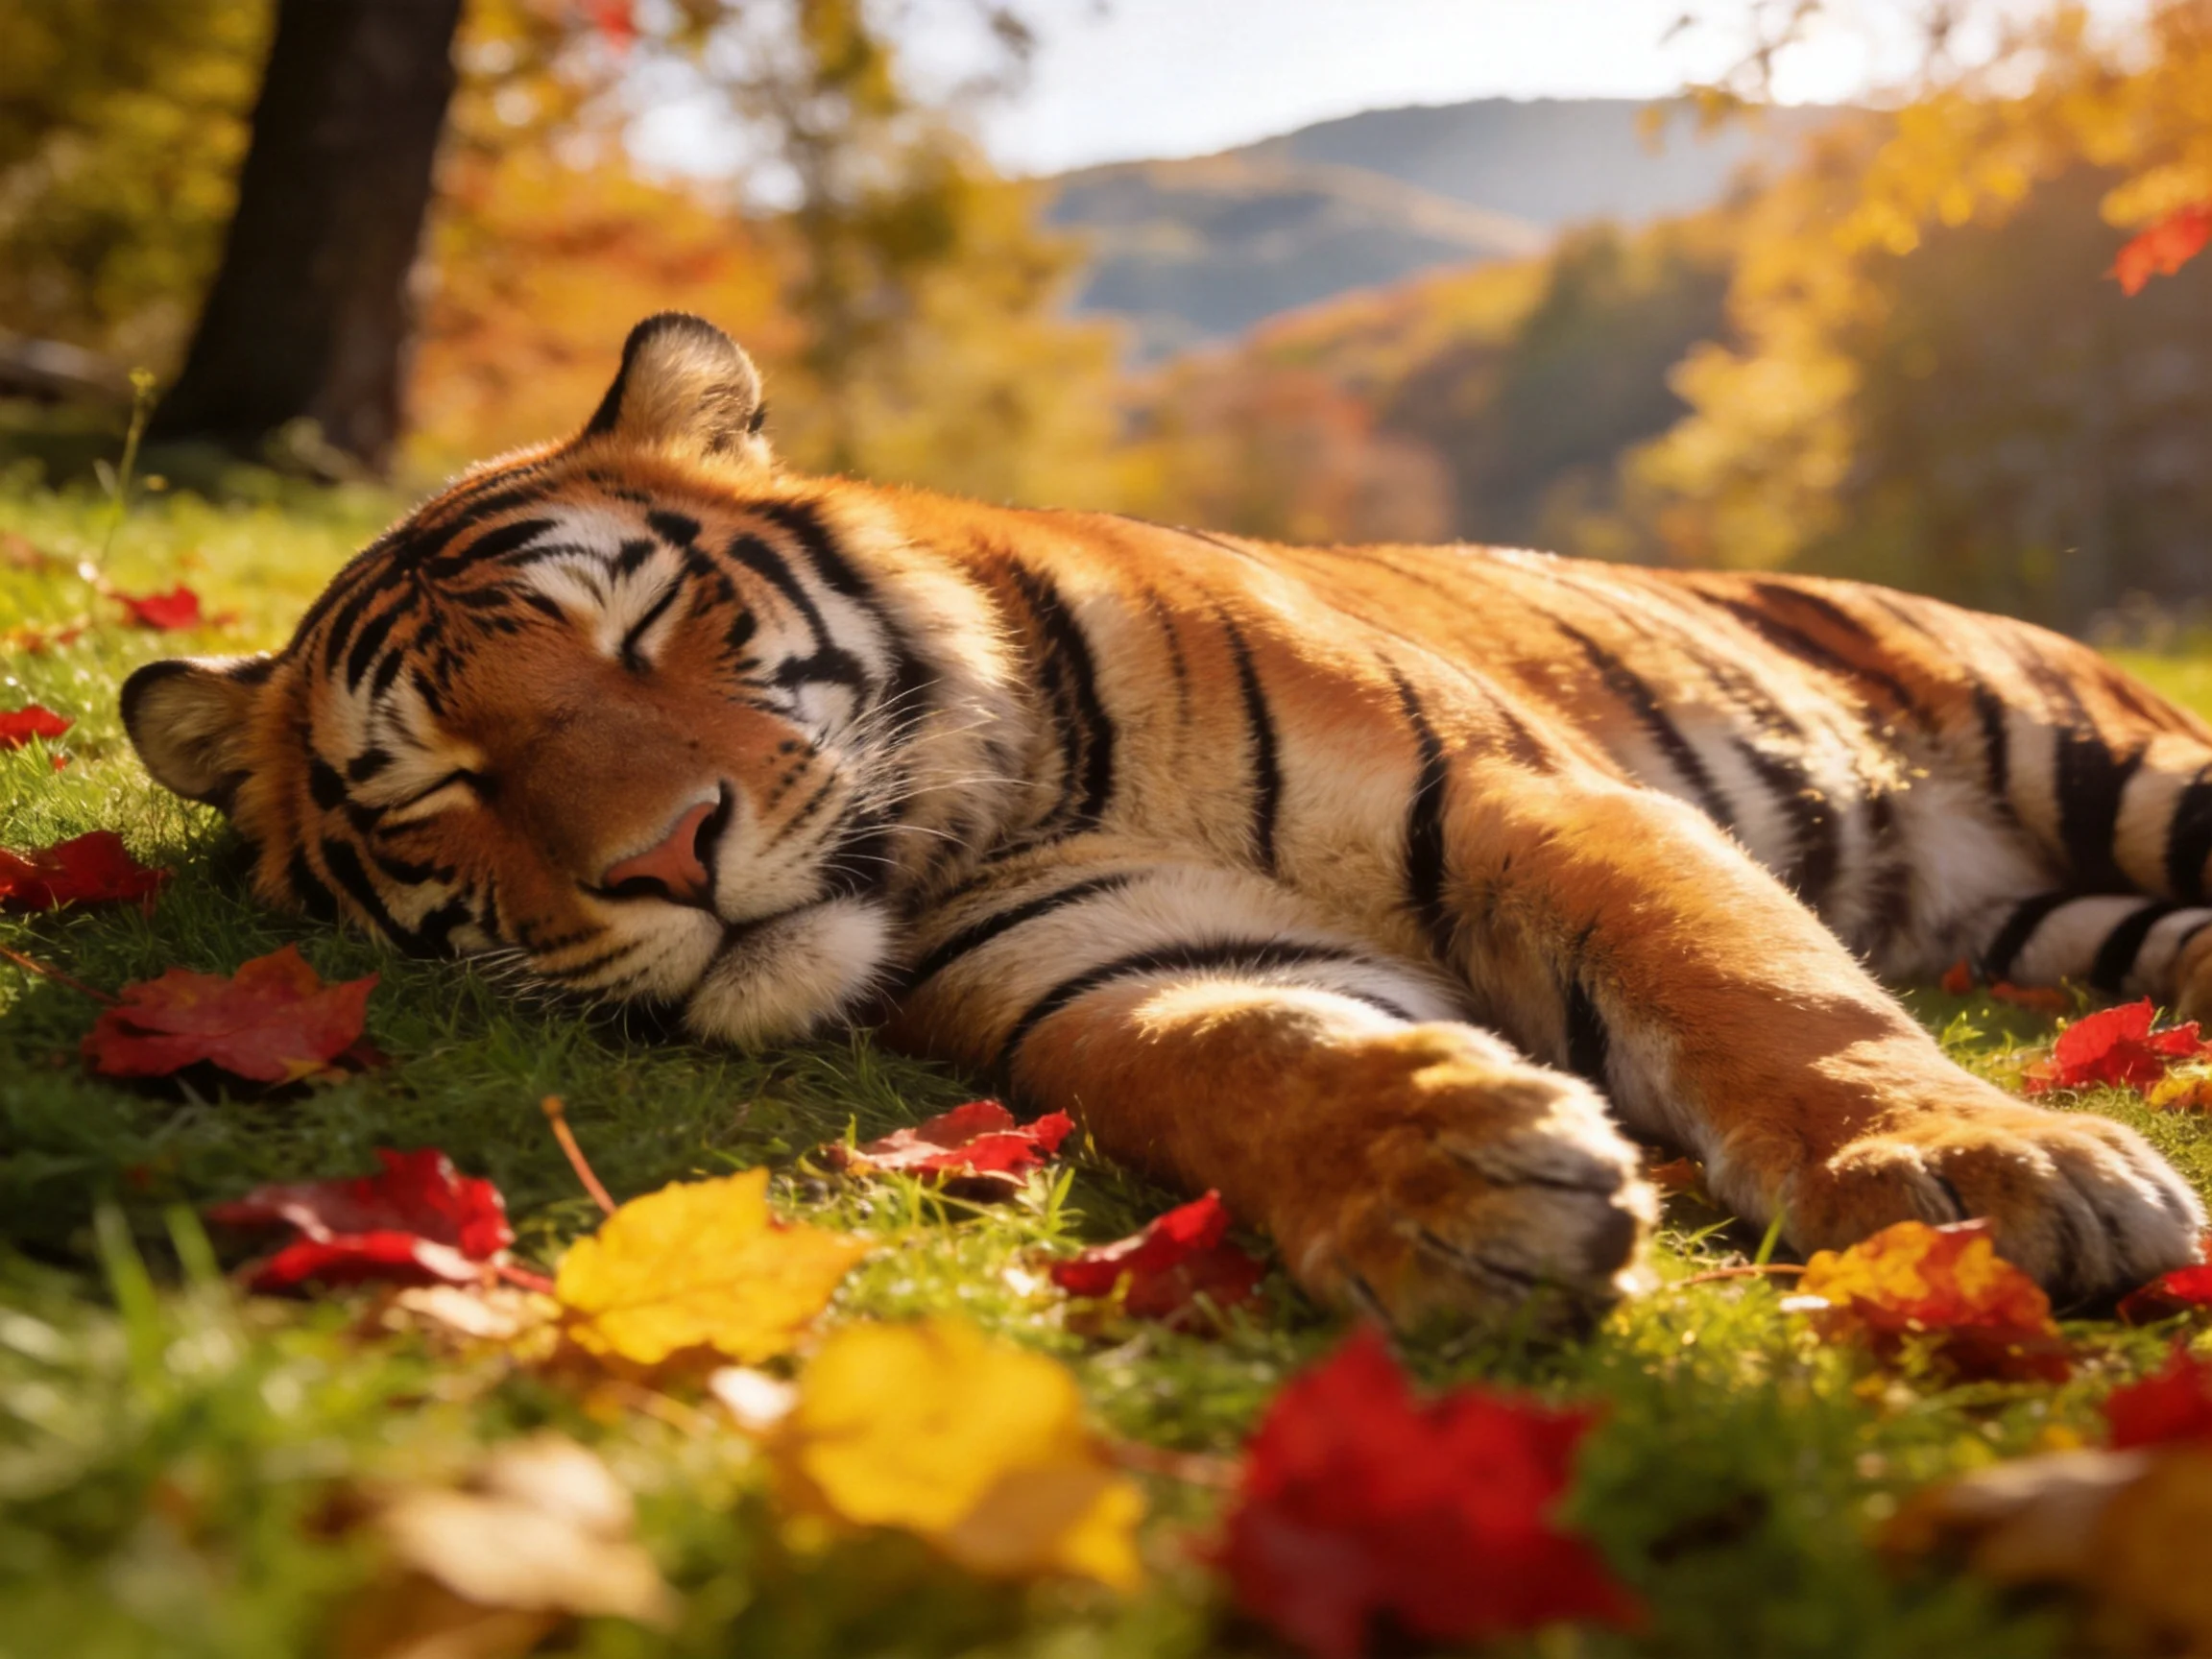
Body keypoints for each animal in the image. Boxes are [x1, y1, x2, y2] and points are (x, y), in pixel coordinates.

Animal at [123, 312, 2207, 1327]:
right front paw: (1440, 1191)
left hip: (2115, 771)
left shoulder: (1532, 792)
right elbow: (1241, 1052)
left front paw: (1973, 1174)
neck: (997, 800)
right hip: (2071, 925)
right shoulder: (1099, 953)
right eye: (437, 785)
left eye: (638, 631)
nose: (664, 859)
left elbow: (1765, 995)